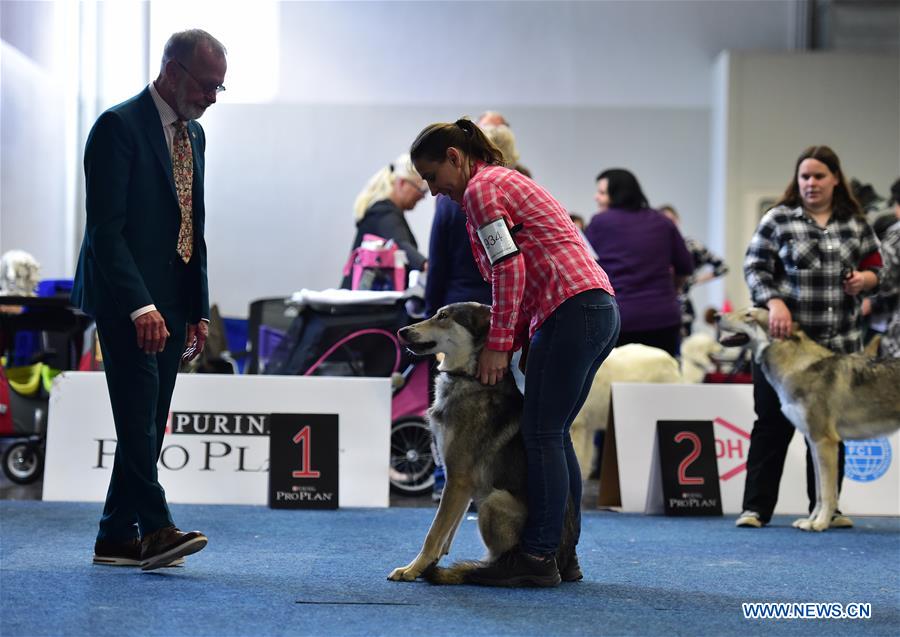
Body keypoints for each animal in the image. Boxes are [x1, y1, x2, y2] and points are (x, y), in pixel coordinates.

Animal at [388, 300, 576, 584]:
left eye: (443, 316)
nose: (402, 331)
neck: (468, 376)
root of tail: (560, 564)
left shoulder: (457, 478)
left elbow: (433, 533)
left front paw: (411, 569)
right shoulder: (462, 485)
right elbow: (446, 535)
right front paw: (428, 566)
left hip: (493, 500)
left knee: (498, 557)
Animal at [716, 308, 900, 532]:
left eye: (749, 315)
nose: (716, 316)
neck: (795, 367)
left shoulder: (824, 442)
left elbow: (828, 493)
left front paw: (820, 524)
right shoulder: (813, 443)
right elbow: (820, 493)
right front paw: (811, 521)